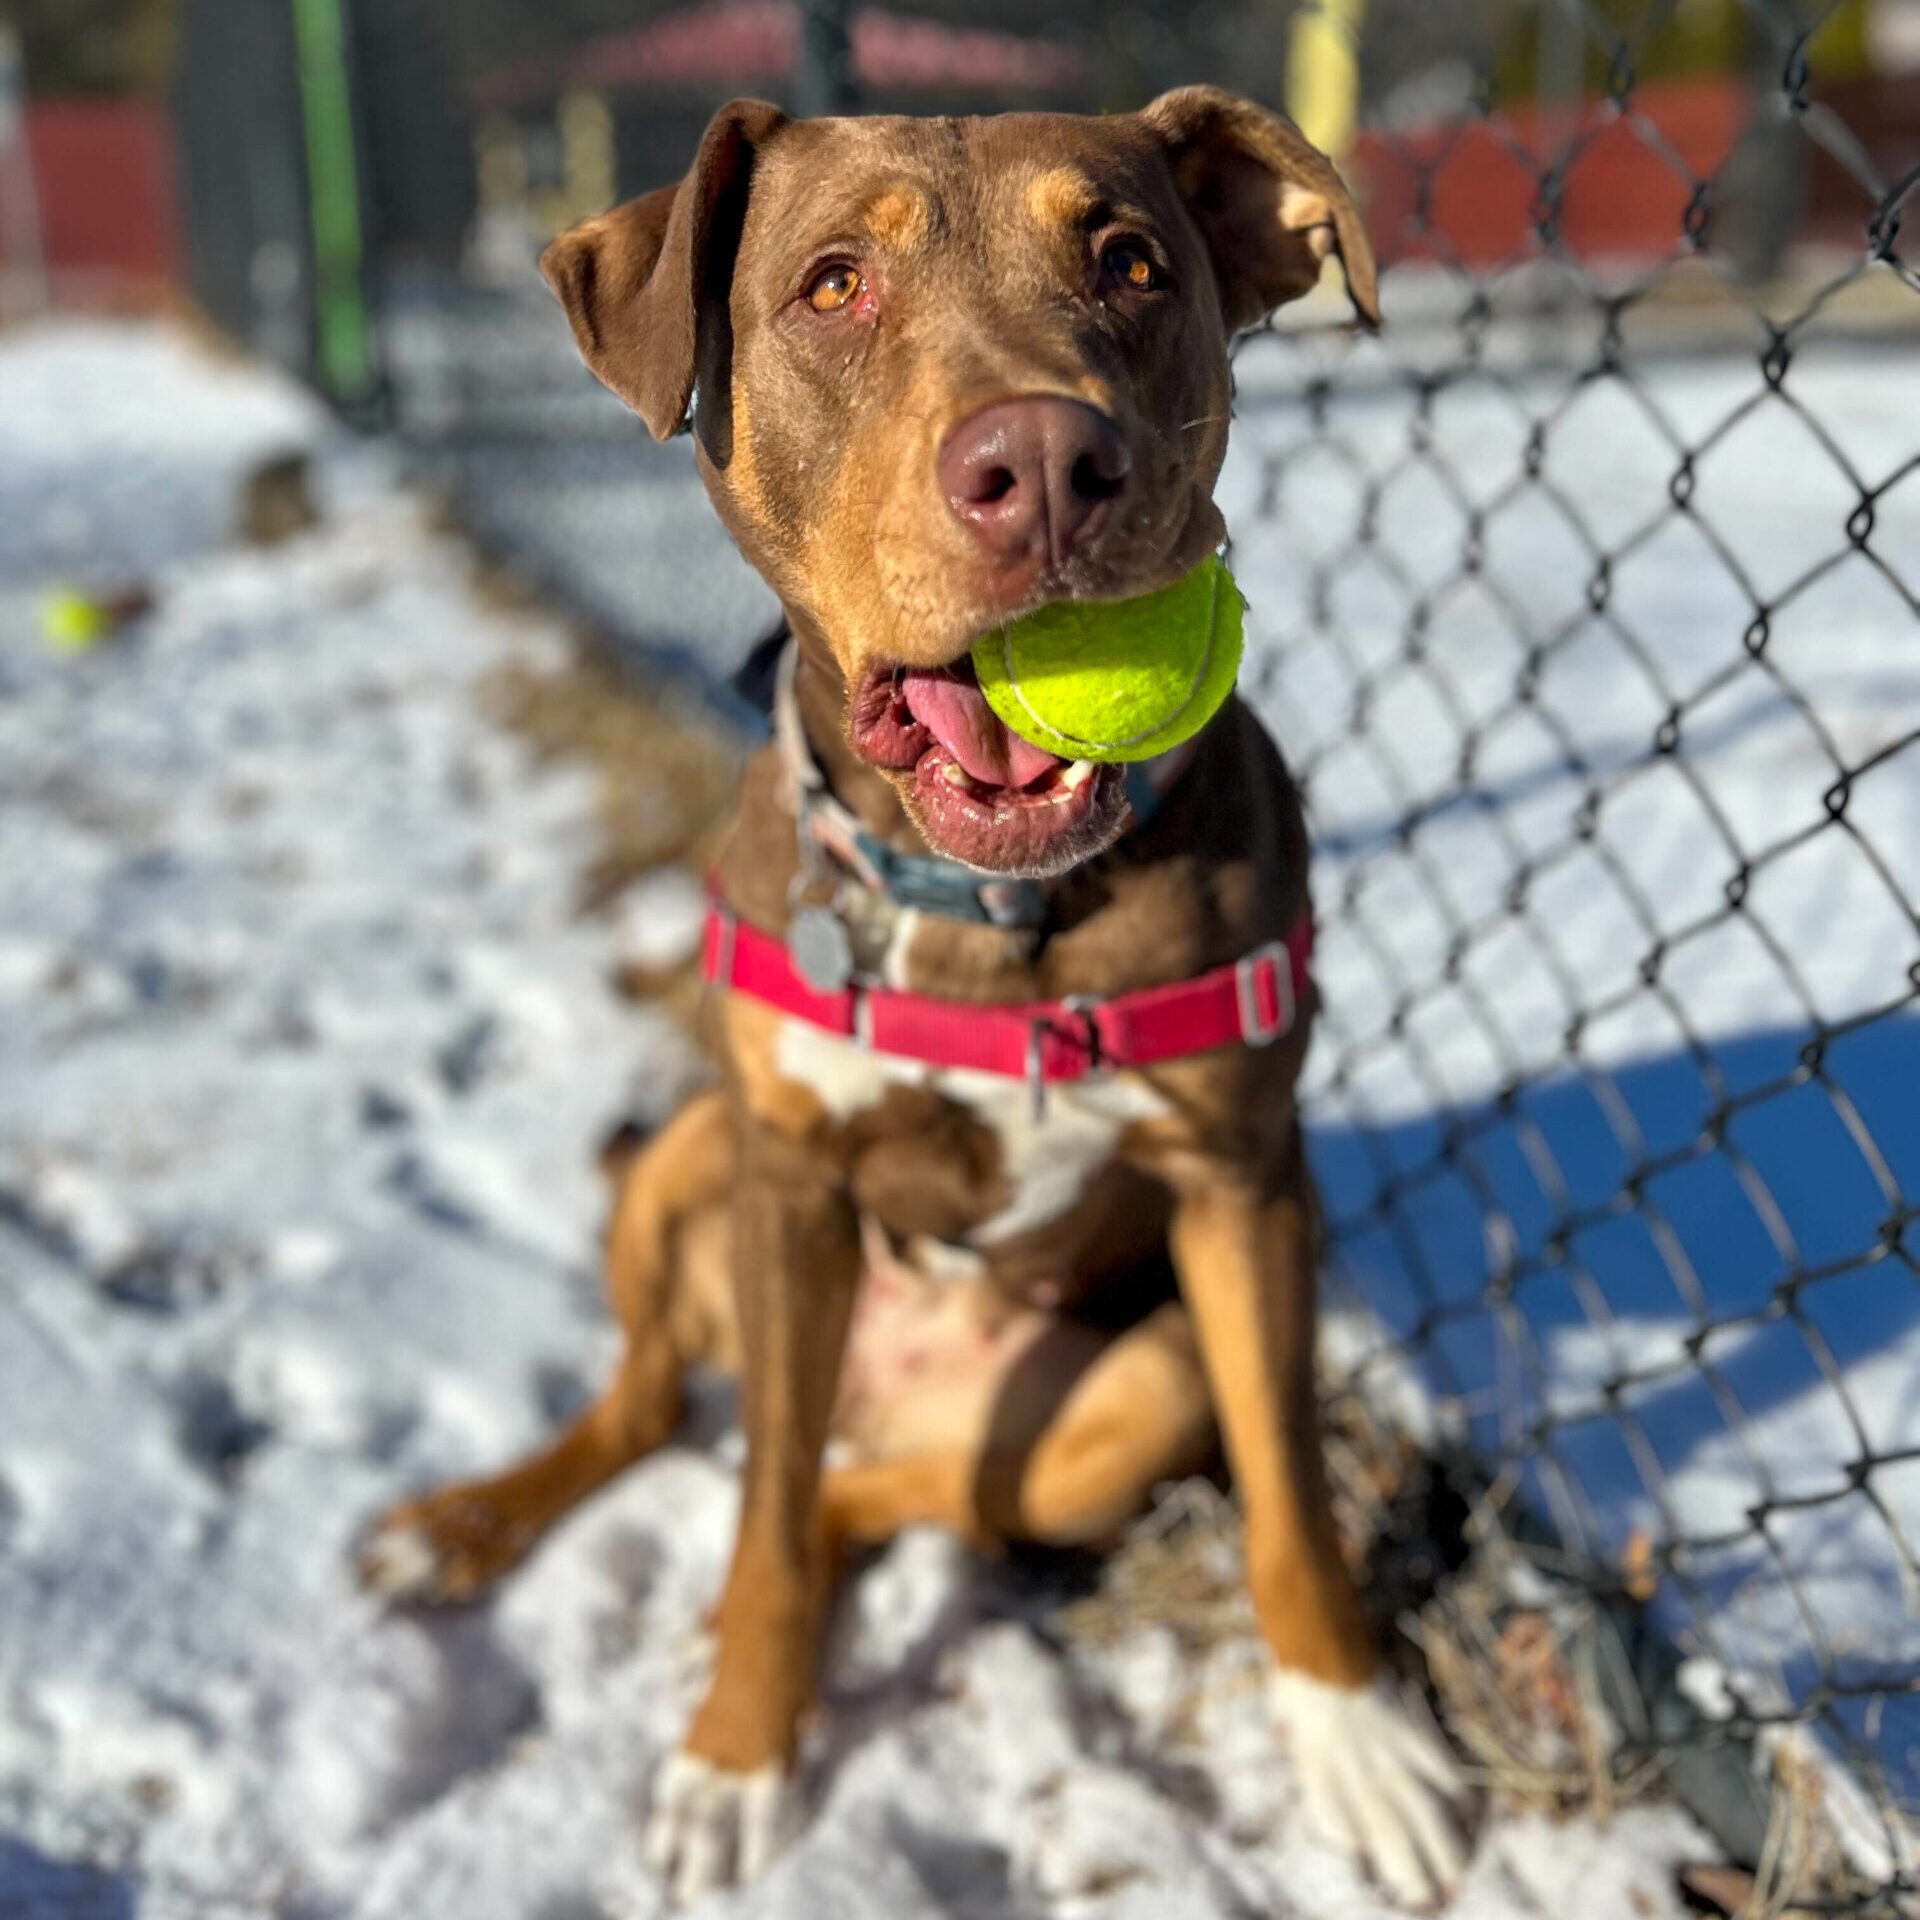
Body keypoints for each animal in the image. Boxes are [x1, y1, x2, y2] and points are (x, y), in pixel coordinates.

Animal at [360, 86, 1466, 1904]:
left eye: (1135, 260)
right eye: (830, 286)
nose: (1045, 467)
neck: (993, 907)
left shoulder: (1244, 1186)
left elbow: (1291, 1493)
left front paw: (1358, 1735)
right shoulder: (790, 1178)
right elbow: (743, 1506)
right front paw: (739, 1757)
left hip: (1125, 1393)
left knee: (859, 1494)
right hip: (693, 1163)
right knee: (673, 1411)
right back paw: (463, 1527)